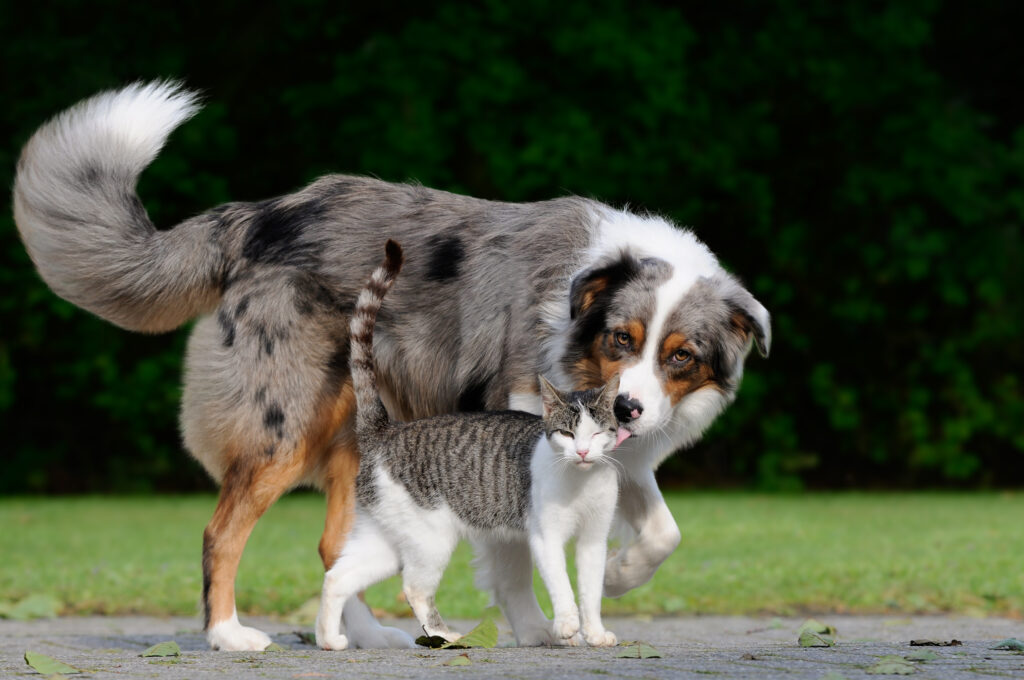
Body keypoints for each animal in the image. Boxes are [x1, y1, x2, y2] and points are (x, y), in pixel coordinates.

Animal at [317, 240, 622, 647]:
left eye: (598, 432)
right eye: (567, 433)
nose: (584, 451)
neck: (581, 481)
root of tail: (385, 430)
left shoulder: (593, 540)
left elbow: (590, 591)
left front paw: (595, 633)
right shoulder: (546, 537)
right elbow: (561, 586)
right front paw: (568, 626)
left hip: (385, 539)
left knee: (337, 577)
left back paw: (328, 640)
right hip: (430, 539)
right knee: (414, 587)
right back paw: (445, 635)